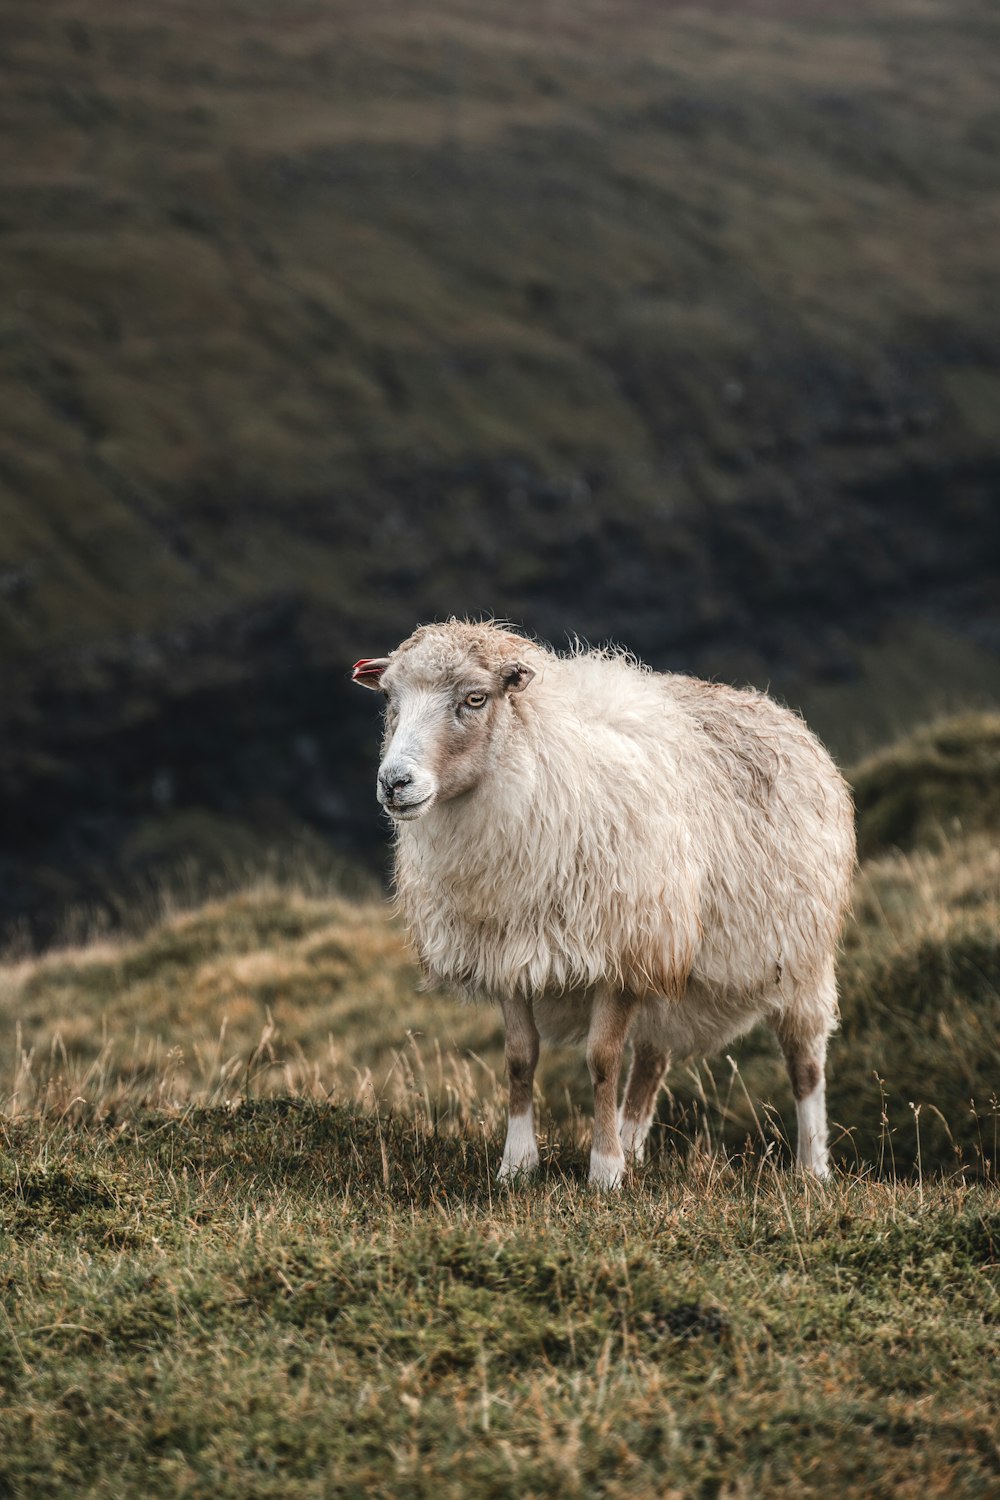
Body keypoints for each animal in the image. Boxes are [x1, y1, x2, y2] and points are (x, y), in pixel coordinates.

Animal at [350, 618, 851, 1182]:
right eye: (389, 697)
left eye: (475, 698)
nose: (394, 782)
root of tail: (777, 710)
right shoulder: (507, 951)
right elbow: (520, 1058)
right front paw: (517, 1164)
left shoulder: (625, 950)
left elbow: (603, 1061)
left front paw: (605, 1170)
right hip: (672, 969)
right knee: (652, 1060)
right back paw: (634, 1146)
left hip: (800, 957)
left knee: (806, 1064)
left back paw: (813, 1167)